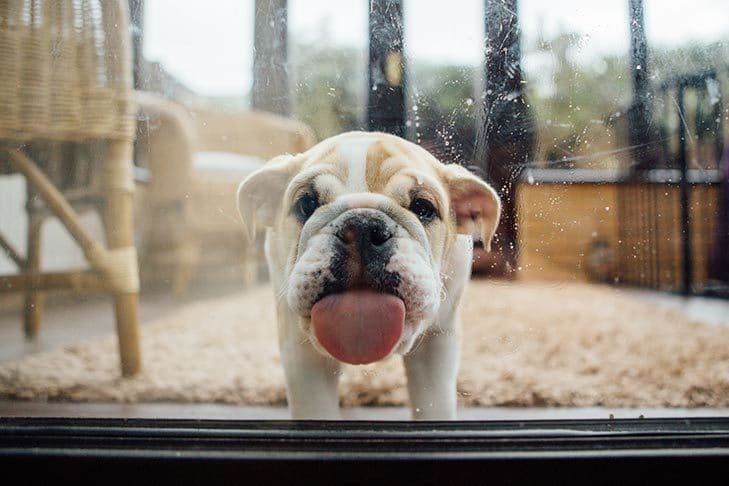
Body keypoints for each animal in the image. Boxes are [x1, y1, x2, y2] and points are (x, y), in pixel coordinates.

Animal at [236, 131, 498, 420]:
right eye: (306, 204)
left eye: (423, 207)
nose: (361, 225)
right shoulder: (300, 351)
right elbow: (316, 409)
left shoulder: (437, 342)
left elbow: (434, 403)